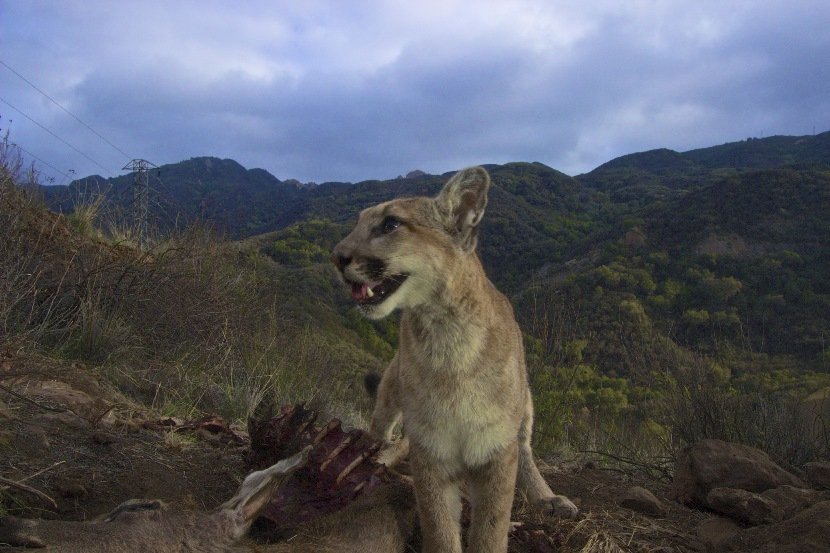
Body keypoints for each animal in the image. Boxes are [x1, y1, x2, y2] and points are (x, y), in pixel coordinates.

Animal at [332, 166, 580, 548]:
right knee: (380, 436)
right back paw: (373, 460)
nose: (337, 257)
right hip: (389, 398)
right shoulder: (431, 453)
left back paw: (548, 498)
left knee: (525, 452)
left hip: (525, 406)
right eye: (358, 223)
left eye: (390, 224)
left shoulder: (496, 452)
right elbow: (439, 528)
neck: (447, 338)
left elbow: (491, 528)